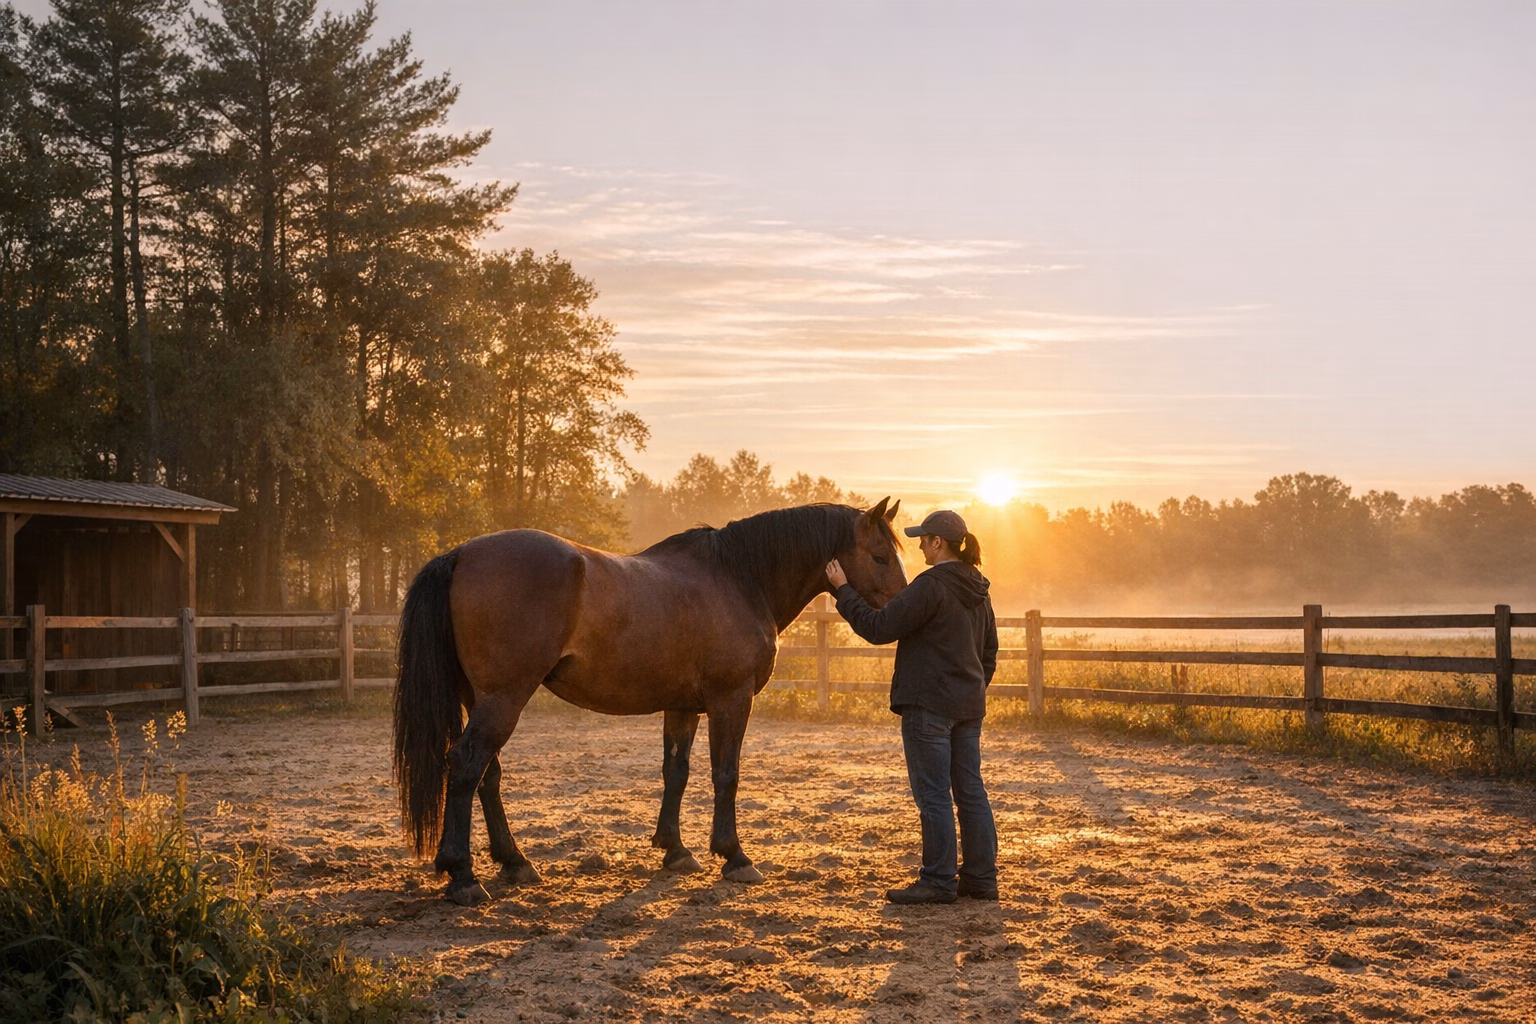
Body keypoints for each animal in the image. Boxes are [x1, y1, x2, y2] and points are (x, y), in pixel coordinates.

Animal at [392, 498, 907, 905]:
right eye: (880, 556)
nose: (904, 607)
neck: (740, 578)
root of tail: (461, 554)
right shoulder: (731, 700)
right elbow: (726, 775)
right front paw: (734, 856)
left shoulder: (681, 706)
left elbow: (675, 772)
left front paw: (675, 850)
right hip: (503, 699)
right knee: (465, 765)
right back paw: (463, 876)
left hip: (482, 699)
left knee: (487, 775)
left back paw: (515, 862)